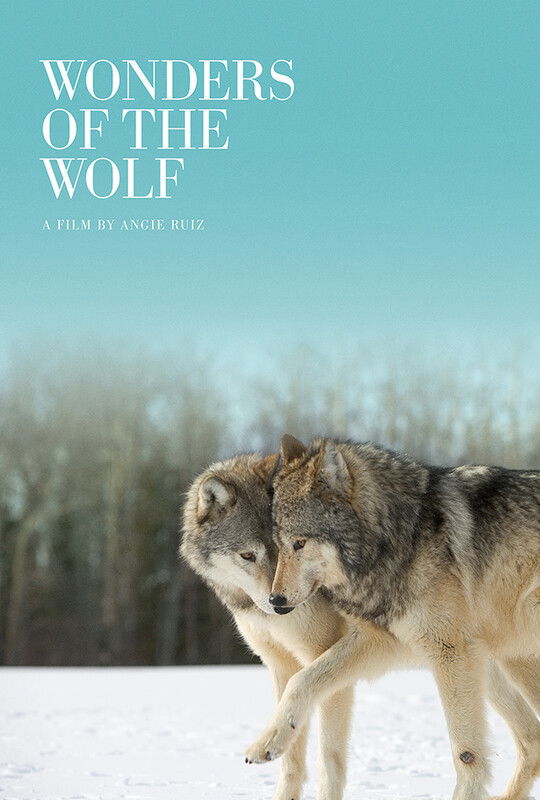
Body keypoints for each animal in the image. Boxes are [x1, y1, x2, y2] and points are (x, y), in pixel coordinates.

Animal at [181, 452, 356, 800]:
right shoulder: (282, 665)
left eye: (296, 545)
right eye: (248, 555)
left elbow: (329, 761)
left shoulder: (326, 663)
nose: (280, 604)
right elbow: (290, 760)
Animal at [246, 435, 540, 800]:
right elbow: (302, 679)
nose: (276, 601)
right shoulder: (387, 641)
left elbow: (466, 753)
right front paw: (268, 742)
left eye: (299, 543)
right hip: (500, 665)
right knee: (532, 738)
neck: (400, 539)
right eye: (279, 545)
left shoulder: (449, 653)